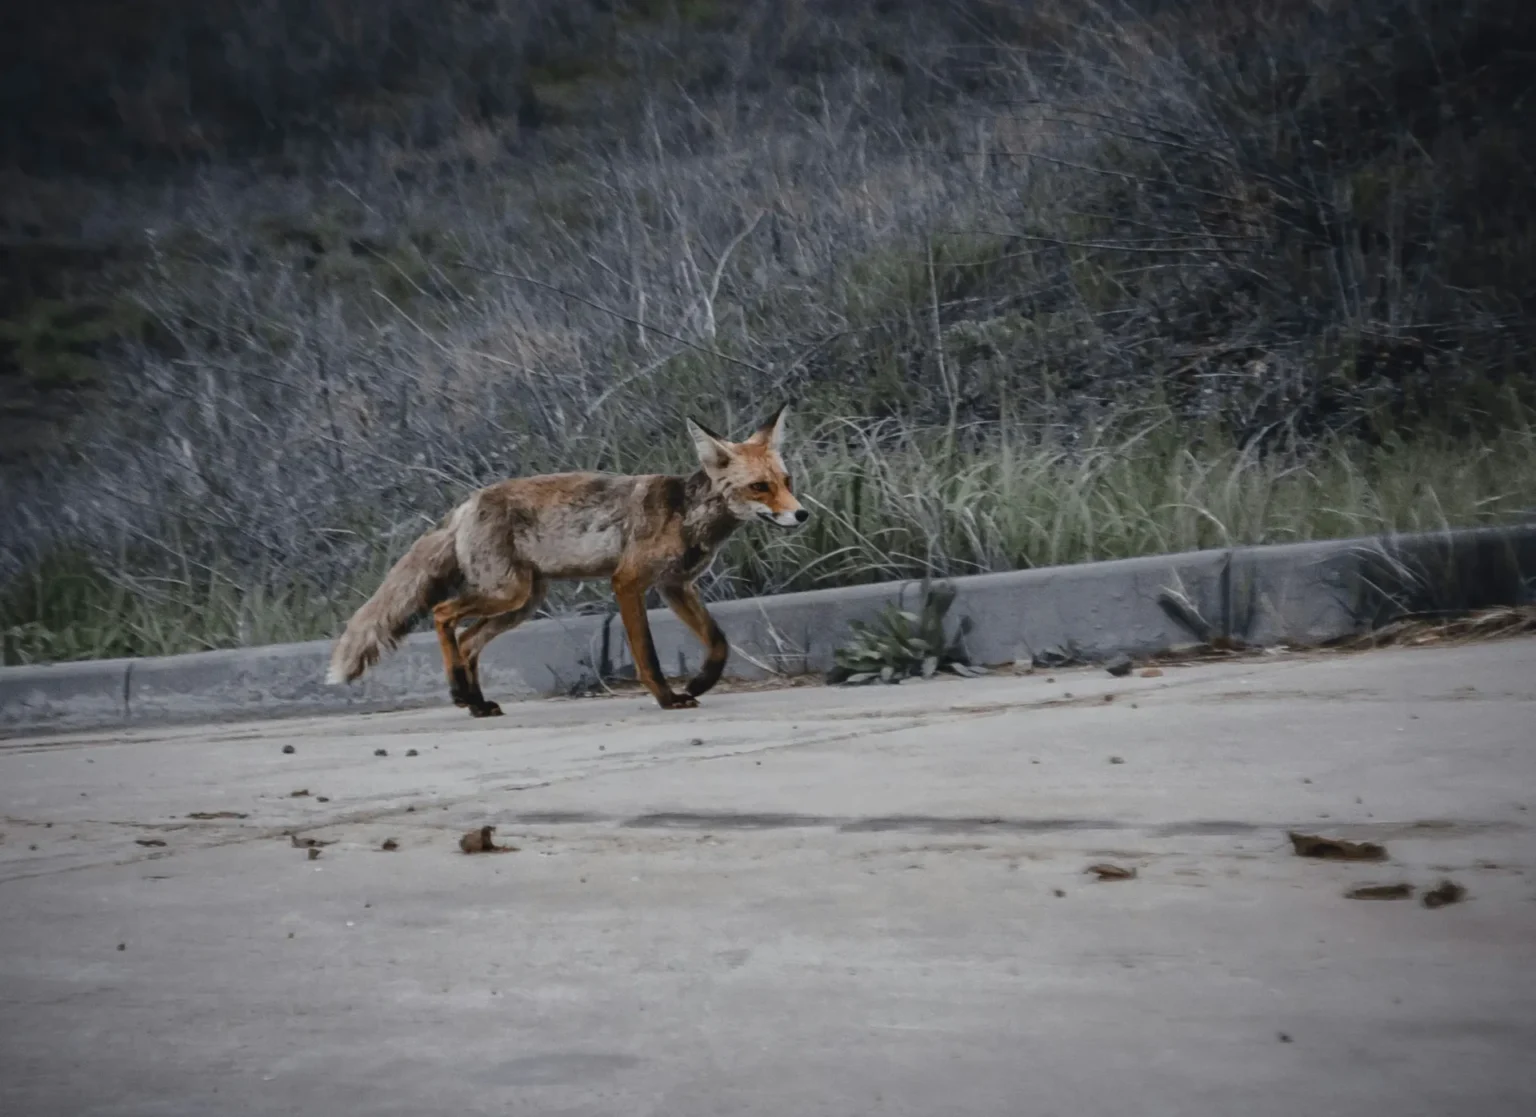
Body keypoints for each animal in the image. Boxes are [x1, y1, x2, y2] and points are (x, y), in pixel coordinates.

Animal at [325, 405, 808, 715]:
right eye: (759, 487)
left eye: (786, 481)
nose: (802, 514)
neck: (686, 517)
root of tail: (465, 504)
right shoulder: (628, 582)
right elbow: (647, 655)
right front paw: (668, 698)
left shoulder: (676, 586)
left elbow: (719, 642)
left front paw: (701, 682)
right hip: (507, 593)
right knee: (444, 615)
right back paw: (460, 692)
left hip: (521, 603)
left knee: (468, 640)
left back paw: (476, 703)